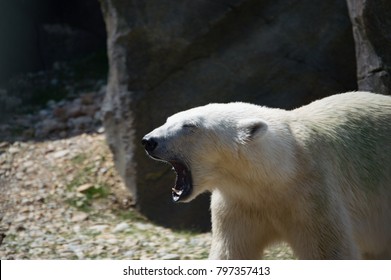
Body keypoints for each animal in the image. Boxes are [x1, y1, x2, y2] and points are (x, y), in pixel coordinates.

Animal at [142, 92, 391, 260]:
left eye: (189, 126)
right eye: (168, 119)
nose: (148, 141)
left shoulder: (314, 196)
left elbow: (329, 251)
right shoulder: (239, 205)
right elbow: (231, 252)